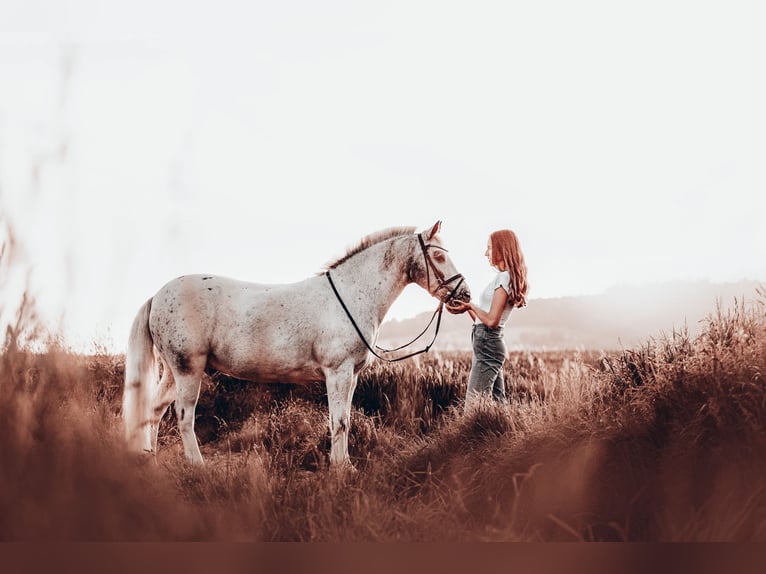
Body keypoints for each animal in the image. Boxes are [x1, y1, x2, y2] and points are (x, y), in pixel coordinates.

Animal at [122, 221, 471, 467]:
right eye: (438, 255)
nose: (463, 295)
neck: (353, 293)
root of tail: (158, 295)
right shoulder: (338, 372)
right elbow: (340, 421)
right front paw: (342, 470)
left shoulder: (352, 375)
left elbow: (342, 421)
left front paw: (342, 465)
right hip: (188, 370)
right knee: (183, 415)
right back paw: (197, 466)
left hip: (172, 371)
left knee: (153, 411)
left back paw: (150, 460)